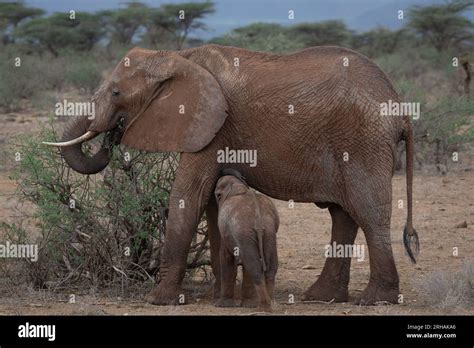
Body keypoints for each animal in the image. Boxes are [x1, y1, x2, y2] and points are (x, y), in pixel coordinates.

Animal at [214, 169, 278, 312]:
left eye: (217, 195)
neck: (238, 186)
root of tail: (258, 220)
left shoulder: (226, 230)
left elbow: (225, 256)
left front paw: (221, 305)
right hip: (268, 230)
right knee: (270, 265)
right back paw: (268, 305)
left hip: (243, 231)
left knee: (254, 265)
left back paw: (262, 308)